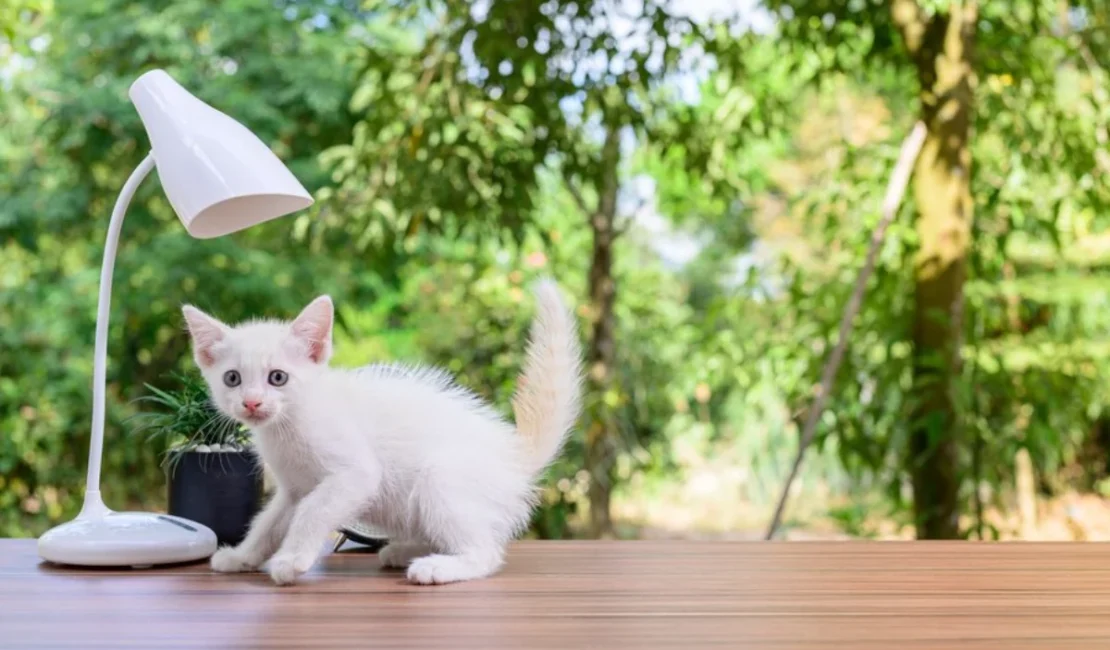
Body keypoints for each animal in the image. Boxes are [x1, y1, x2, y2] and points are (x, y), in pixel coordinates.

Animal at [182, 280, 581, 585]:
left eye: (277, 377)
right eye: (232, 378)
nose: (251, 403)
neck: (289, 425)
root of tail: (514, 454)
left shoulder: (355, 473)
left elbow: (313, 511)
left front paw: (291, 560)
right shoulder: (294, 488)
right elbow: (268, 522)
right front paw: (242, 556)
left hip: (441, 480)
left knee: (486, 552)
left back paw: (437, 567)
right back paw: (405, 550)